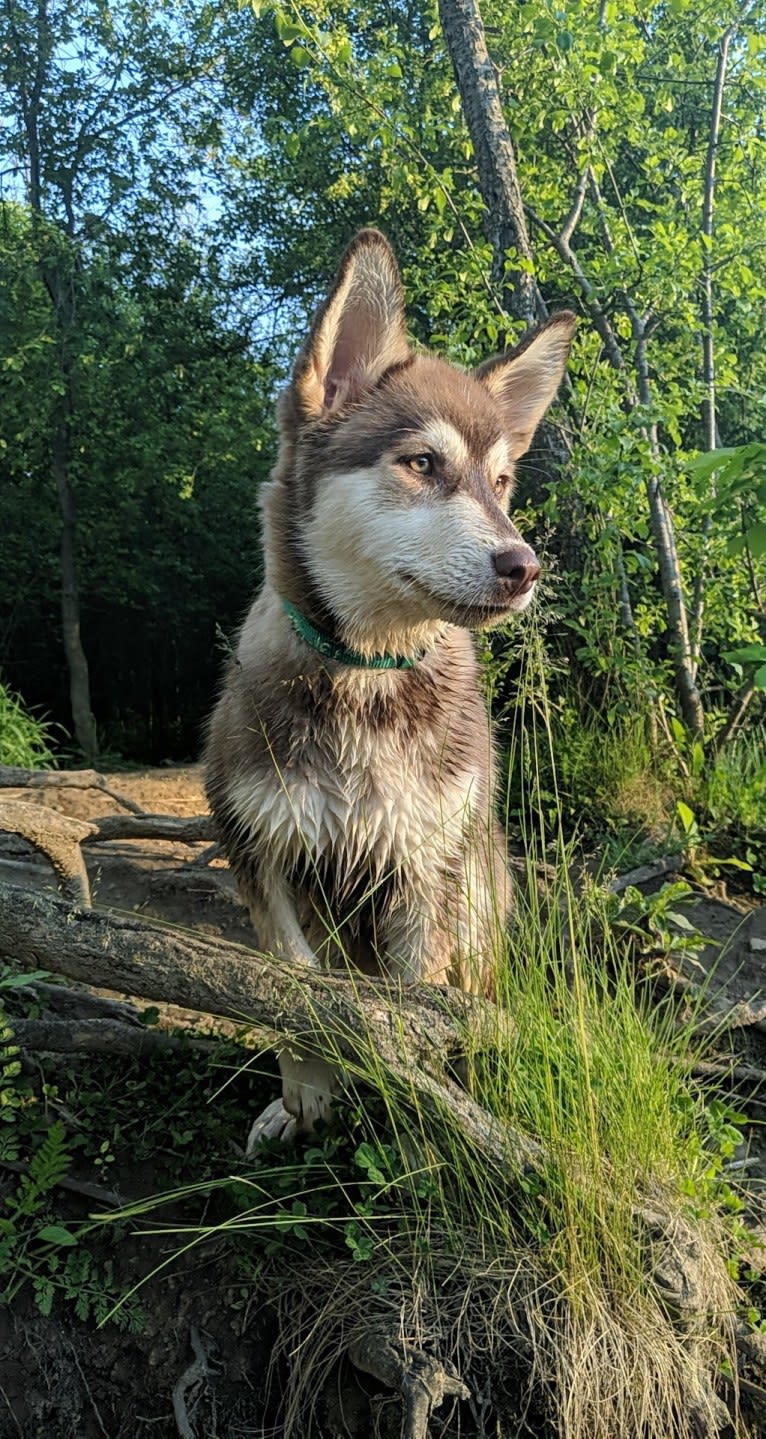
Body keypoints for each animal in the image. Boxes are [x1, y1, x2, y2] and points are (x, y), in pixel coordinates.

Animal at [203, 227, 575, 1145]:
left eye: (502, 483)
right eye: (423, 463)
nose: (525, 567)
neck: (366, 680)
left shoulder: (422, 869)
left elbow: (416, 1010)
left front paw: (424, 1122)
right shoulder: (261, 852)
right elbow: (296, 992)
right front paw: (306, 1092)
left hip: (478, 887)